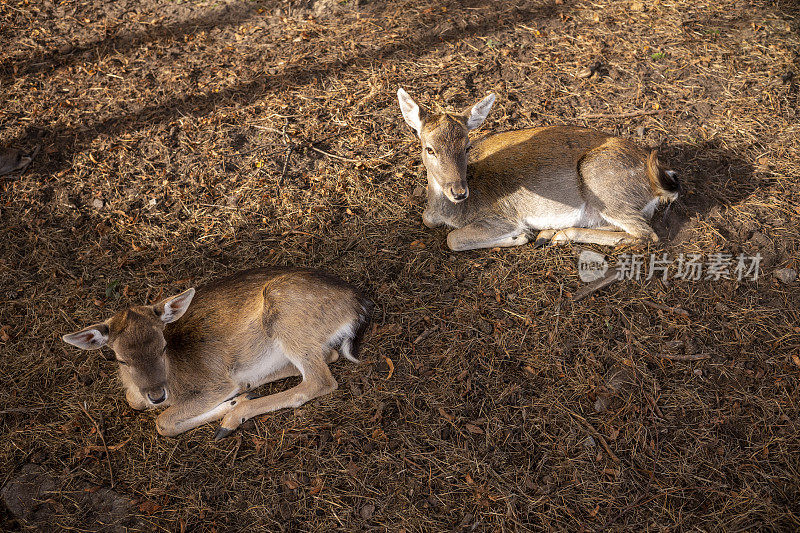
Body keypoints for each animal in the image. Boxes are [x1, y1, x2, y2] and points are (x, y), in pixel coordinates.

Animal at [64, 268, 374, 438]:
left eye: (163, 346)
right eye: (120, 359)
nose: (157, 395)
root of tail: (358, 307)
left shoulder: (215, 383)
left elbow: (163, 421)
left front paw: (229, 405)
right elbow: (135, 401)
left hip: (288, 317)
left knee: (319, 380)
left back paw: (232, 418)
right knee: (328, 357)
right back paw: (247, 389)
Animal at [396, 88, 680, 251]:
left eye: (467, 146)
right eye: (429, 149)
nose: (459, 192)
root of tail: (658, 183)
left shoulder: (500, 216)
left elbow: (453, 239)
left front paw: (519, 237)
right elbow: (427, 218)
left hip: (602, 182)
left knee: (646, 234)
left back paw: (552, 235)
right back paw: (551, 234)